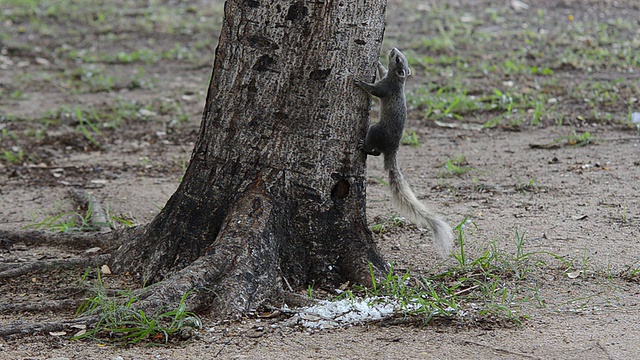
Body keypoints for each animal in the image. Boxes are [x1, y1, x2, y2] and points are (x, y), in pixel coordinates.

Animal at [356, 47, 456, 258]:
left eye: (398, 59)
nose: (393, 49)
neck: (397, 80)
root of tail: (393, 149)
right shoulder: (386, 78)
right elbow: (382, 71)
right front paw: (378, 63)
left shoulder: (384, 88)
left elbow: (374, 90)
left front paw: (360, 82)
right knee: (378, 154)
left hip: (375, 130)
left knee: (374, 148)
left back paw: (363, 146)